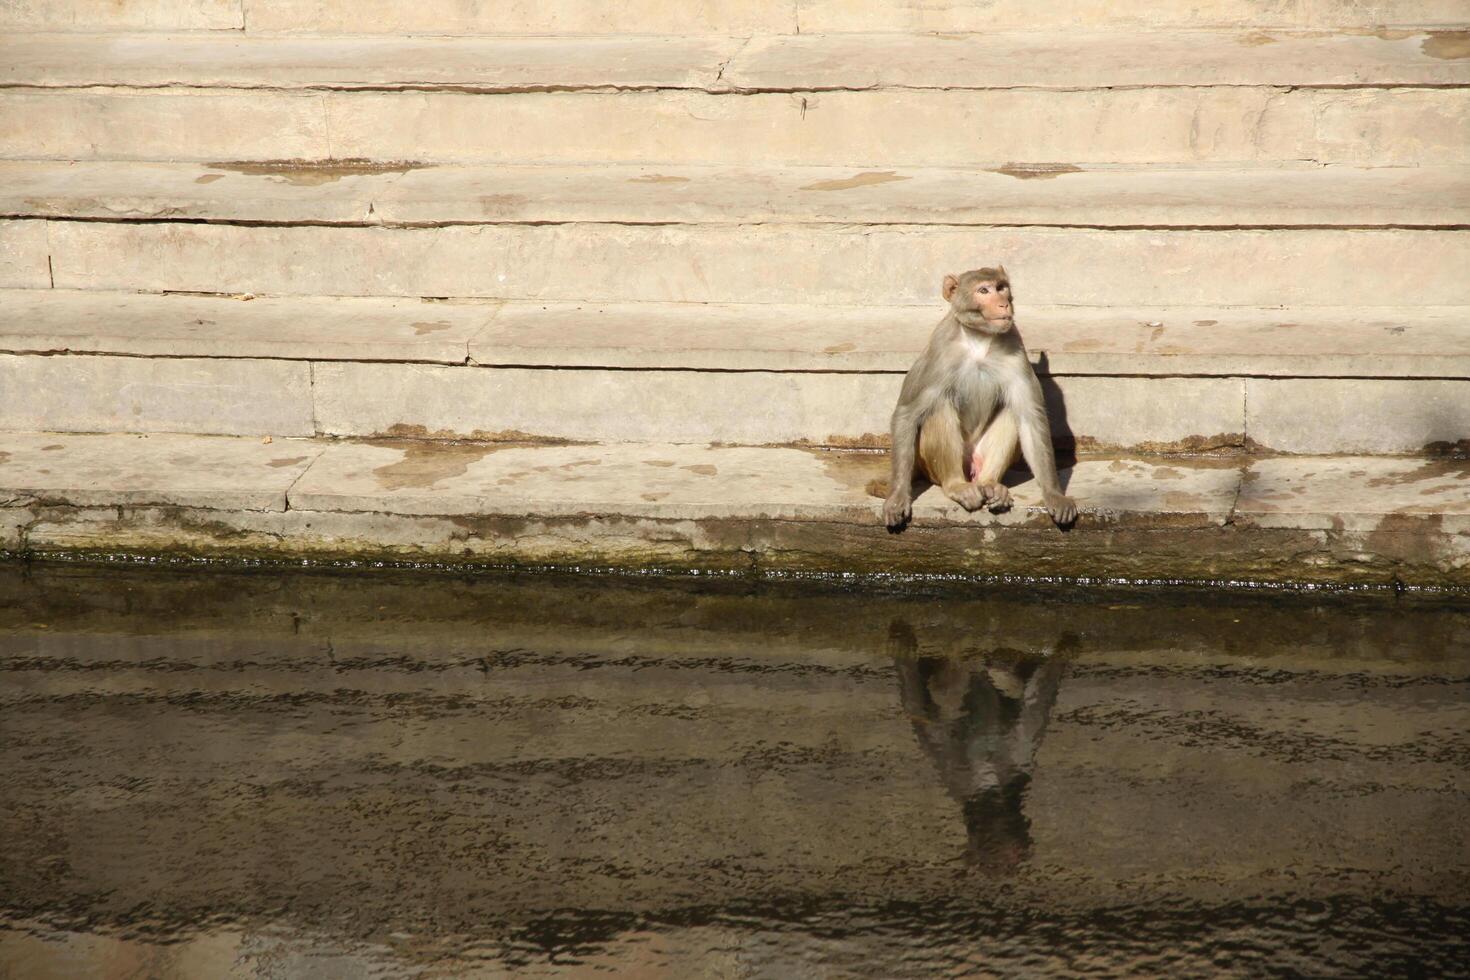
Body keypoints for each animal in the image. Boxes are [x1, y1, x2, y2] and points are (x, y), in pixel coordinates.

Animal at [876, 265, 1076, 528]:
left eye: (1001, 288)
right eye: (984, 291)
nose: (1003, 303)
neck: (979, 339)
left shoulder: (1015, 347)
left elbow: (1029, 417)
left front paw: (1054, 494)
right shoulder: (939, 353)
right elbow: (907, 413)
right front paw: (898, 496)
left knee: (1011, 412)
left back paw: (990, 484)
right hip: (933, 465)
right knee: (939, 407)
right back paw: (956, 486)